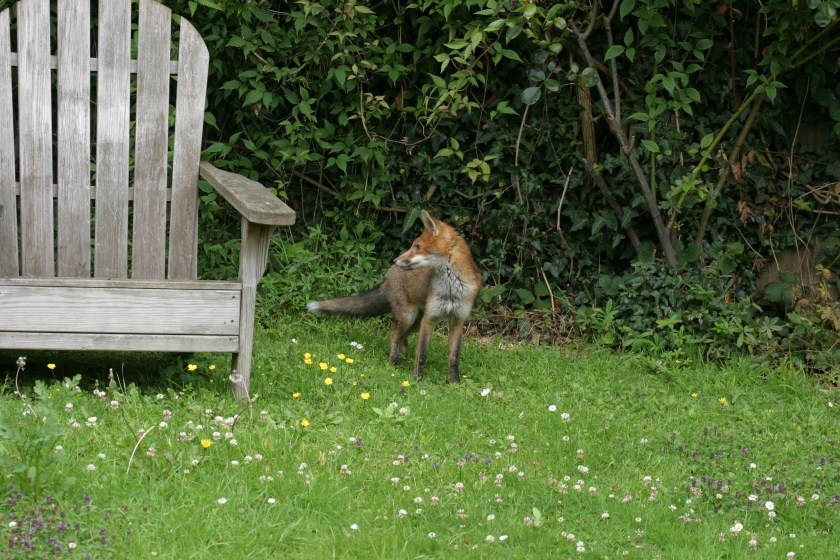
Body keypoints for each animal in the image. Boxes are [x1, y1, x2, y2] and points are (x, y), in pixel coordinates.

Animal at [307, 210, 481, 383]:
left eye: (418, 246)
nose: (395, 260)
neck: (452, 288)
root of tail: (388, 276)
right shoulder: (430, 317)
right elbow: (422, 353)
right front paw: (417, 378)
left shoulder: (458, 320)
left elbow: (454, 357)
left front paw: (453, 381)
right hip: (409, 317)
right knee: (394, 335)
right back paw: (394, 361)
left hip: (415, 321)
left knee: (402, 337)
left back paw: (404, 359)